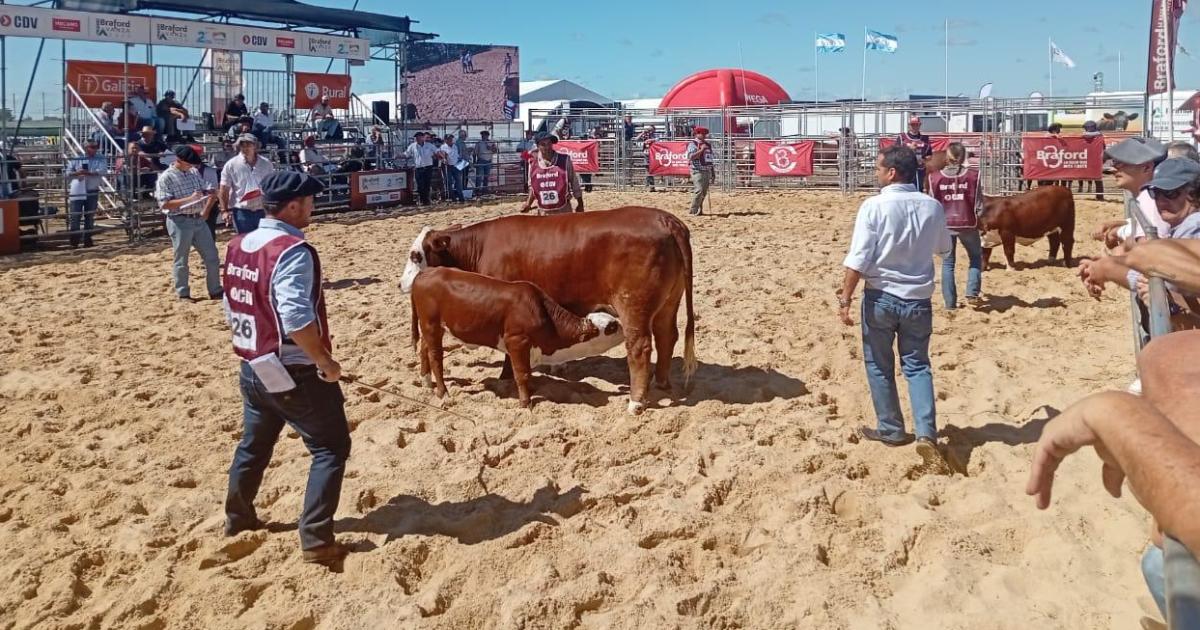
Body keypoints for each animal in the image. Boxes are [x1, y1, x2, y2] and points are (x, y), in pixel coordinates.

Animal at [410, 267, 624, 408]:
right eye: (612, 326)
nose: (625, 328)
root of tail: (425, 272)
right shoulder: (517, 341)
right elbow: (522, 374)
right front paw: (525, 402)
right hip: (431, 325)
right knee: (436, 357)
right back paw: (442, 392)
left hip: (429, 327)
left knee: (424, 349)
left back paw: (426, 381)